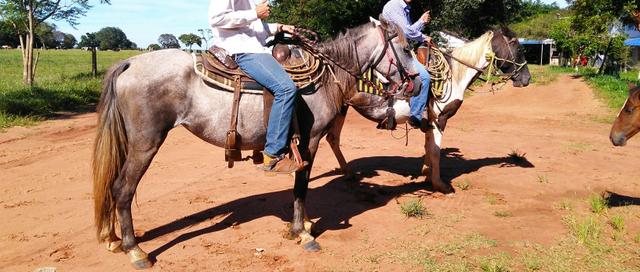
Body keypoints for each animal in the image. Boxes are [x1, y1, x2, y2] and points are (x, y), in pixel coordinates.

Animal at [91, 17, 420, 270]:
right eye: (406, 48)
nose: (416, 81)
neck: (324, 79)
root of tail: (130, 62)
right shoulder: (310, 142)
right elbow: (301, 186)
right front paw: (301, 233)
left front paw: (306, 224)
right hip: (146, 143)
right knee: (123, 189)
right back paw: (135, 250)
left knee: (112, 185)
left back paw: (113, 239)